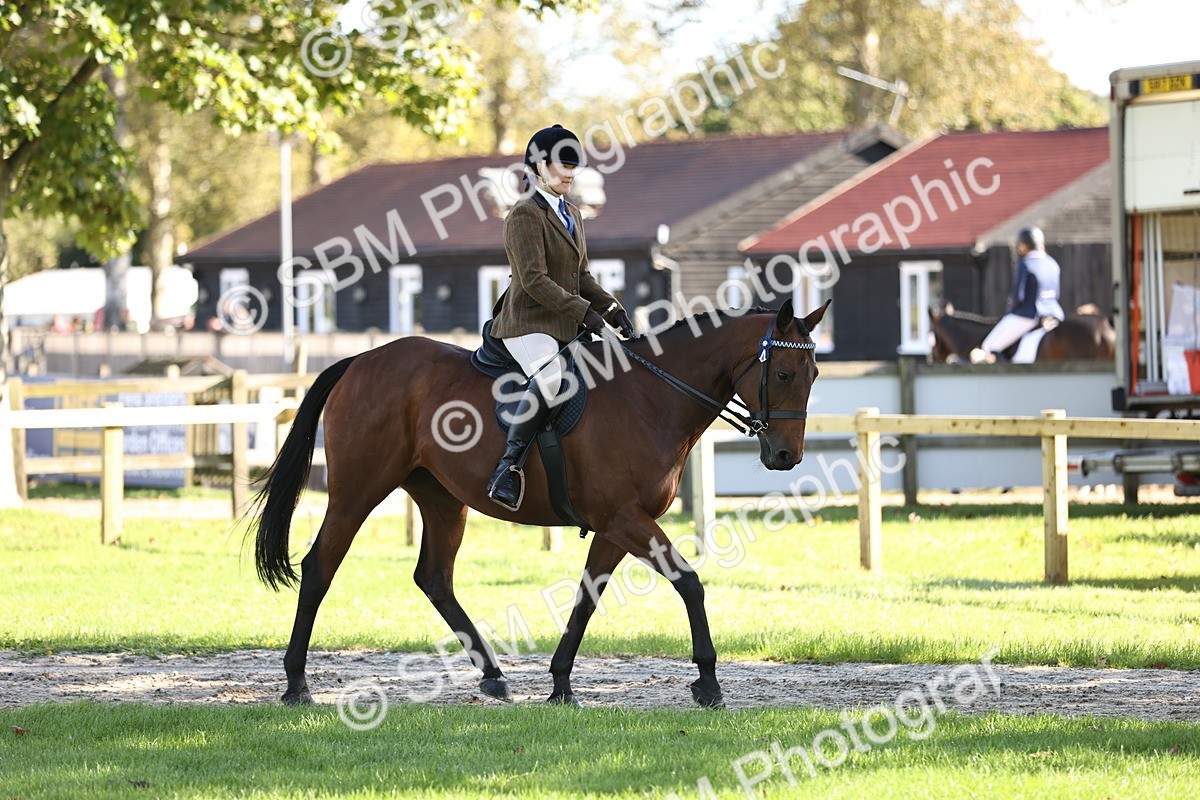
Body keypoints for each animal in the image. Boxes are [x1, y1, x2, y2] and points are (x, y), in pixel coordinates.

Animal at [251, 298, 828, 708]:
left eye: (814, 376)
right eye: (782, 374)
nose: (785, 456)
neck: (651, 395)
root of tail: (360, 361)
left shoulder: (616, 525)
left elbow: (587, 598)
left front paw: (561, 684)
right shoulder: (625, 518)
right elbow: (689, 583)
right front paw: (708, 681)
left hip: (441, 499)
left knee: (434, 577)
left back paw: (493, 676)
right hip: (358, 491)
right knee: (320, 566)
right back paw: (297, 684)